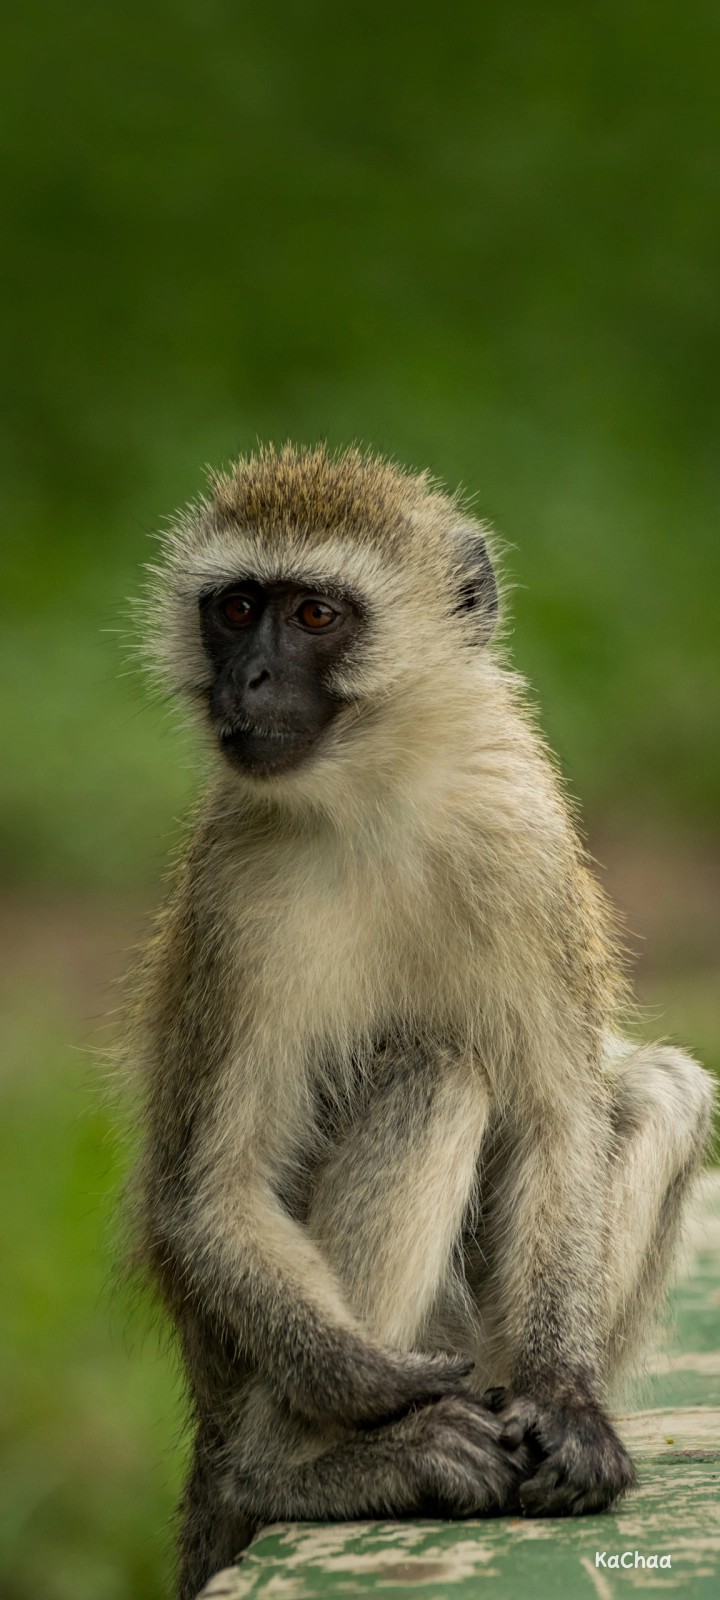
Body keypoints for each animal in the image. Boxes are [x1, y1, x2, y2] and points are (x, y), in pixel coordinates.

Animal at [126, 444, 714, 1600]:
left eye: (315, 614)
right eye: (236, 608)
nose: (246, 679)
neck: (378, 796)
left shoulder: (523, 837)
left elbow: (560, 1119)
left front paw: (566, 1396)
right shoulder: (240, 901)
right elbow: (209, 1196)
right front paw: (371, 1383)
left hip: (480, 1346)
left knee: (654, 1090)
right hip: (256, 1381)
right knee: (434, 1072)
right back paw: (307, 1466)